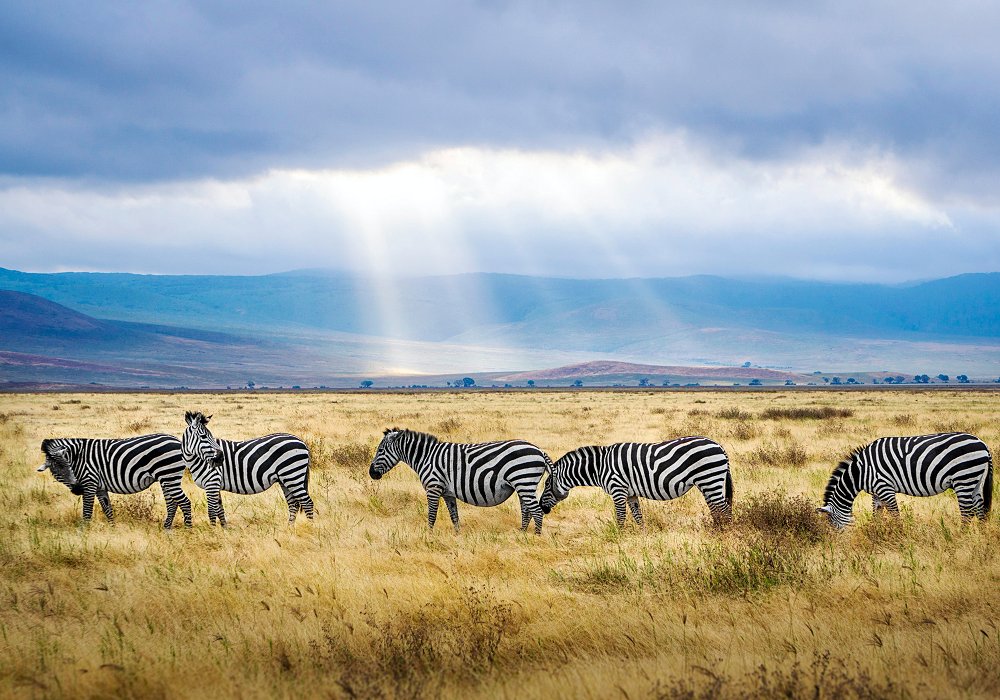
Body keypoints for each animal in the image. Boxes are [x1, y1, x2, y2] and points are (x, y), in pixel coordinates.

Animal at [36, 434, 191, 528]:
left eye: (69, 466)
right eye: (56, 471)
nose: (77, 489)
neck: (78, 457)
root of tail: (177, 440)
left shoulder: (90, 482)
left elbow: (87, 511)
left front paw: (84, 533)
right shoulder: (99, 487)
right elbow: (107, 509)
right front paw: (113, 529)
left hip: (169, 476)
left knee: (185, 502)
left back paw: (188, 530)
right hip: (166, 479)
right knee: (172, 503)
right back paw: (166, 529)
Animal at [182, 410, 314, 524]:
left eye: (209, 436)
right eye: (204, 436)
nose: (220, 458)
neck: (198, 460)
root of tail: (301, 441)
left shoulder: (212, 482)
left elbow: (212, 511)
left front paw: (213, 531)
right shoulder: (215, 485)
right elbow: (220, 510)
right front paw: (225, 529)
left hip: (292, 476)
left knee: (307, 503)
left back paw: (310, 527)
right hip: (285, 479)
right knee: (293, 504)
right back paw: (289, 529)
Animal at [372, 426, 552, 536]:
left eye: (380, 450)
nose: (371, 473)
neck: (426, 457)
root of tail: (539, 450)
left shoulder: (433, 487)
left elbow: (432, 515)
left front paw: (429, 536)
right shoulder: (448, 493)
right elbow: (454, 516)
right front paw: (457, 536)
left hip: (524, 481)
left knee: (537, 511)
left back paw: (535, 538)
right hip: (523, 485)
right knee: (526, 510)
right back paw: (521, 534)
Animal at [540, 438, 736, 524]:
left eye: (547, 485)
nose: (542, 507)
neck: (599, 467)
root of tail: (719, 446)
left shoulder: (618, 489)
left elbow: (620, 517)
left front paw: (619, 539)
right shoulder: (630, 494)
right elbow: (638, 517)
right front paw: (642, 538)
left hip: (710, 479)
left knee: (724, 509)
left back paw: (726, 534)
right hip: (707, 483)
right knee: (716, 509)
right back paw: (715, 531)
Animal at [820, 430, 992, 528]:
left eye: (833, 524)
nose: (837, 544)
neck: (861, 472)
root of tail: (982, 443)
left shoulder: (885, 487)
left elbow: (895, 515)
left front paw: (900, 538)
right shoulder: (876, 493)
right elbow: (877, 515)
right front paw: (875, 534)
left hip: (963, 478)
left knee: (967, 512)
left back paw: (959, 538)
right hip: (975, 480)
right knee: (979, 509)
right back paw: (981, 539)